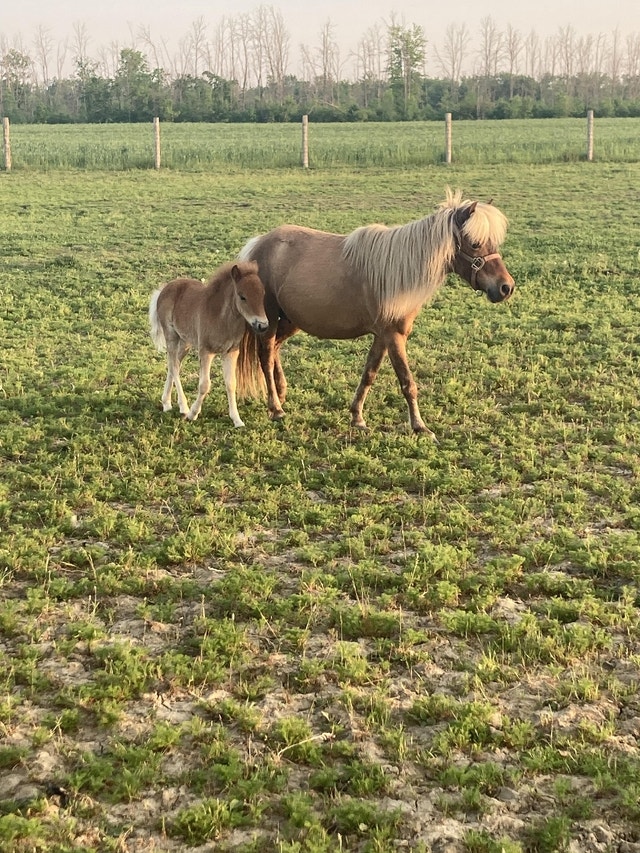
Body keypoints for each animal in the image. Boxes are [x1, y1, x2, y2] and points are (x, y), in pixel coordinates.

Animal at [148, 260, 268, 427]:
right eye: (242, 296)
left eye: (263, 294)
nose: (262, 325)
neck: (222, 318)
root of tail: (164, 288)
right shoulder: (206, 351)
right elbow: (204, 385)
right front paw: (193, 414)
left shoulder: (231, 352)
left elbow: (231, 384)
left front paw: (237, 420)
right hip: (171, 335)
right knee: (174, 366)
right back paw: (183, 407)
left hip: (185, 342)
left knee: (174, 364)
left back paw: (166, 403)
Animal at [237, 189, 515, 437]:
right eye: (475, 243)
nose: (506, 287)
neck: (397, 270)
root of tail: (258, 244)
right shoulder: (393, 336)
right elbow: (407, 382)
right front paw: (420, 427)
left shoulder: (382, 336)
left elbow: (369, 374)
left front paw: (357, 417)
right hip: (270, 320)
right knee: (265, 355)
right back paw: (276, 408)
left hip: (292, 320)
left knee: (275, 349)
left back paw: (281, 393)